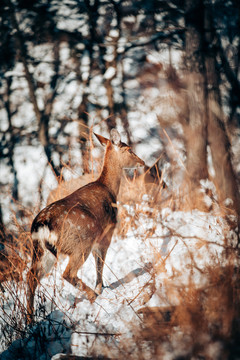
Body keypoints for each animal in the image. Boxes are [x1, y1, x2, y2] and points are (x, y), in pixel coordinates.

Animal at [27, 129, 145, 320]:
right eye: (129, 150)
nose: (142, 162)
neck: (110, 190)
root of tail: (42, 225)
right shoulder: (107, 232)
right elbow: (100, 262)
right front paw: (100, 288)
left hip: (42, 251)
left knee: (31, 277)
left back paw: (29, 319)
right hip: (80, 242)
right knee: (67, 273)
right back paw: (92, 295)